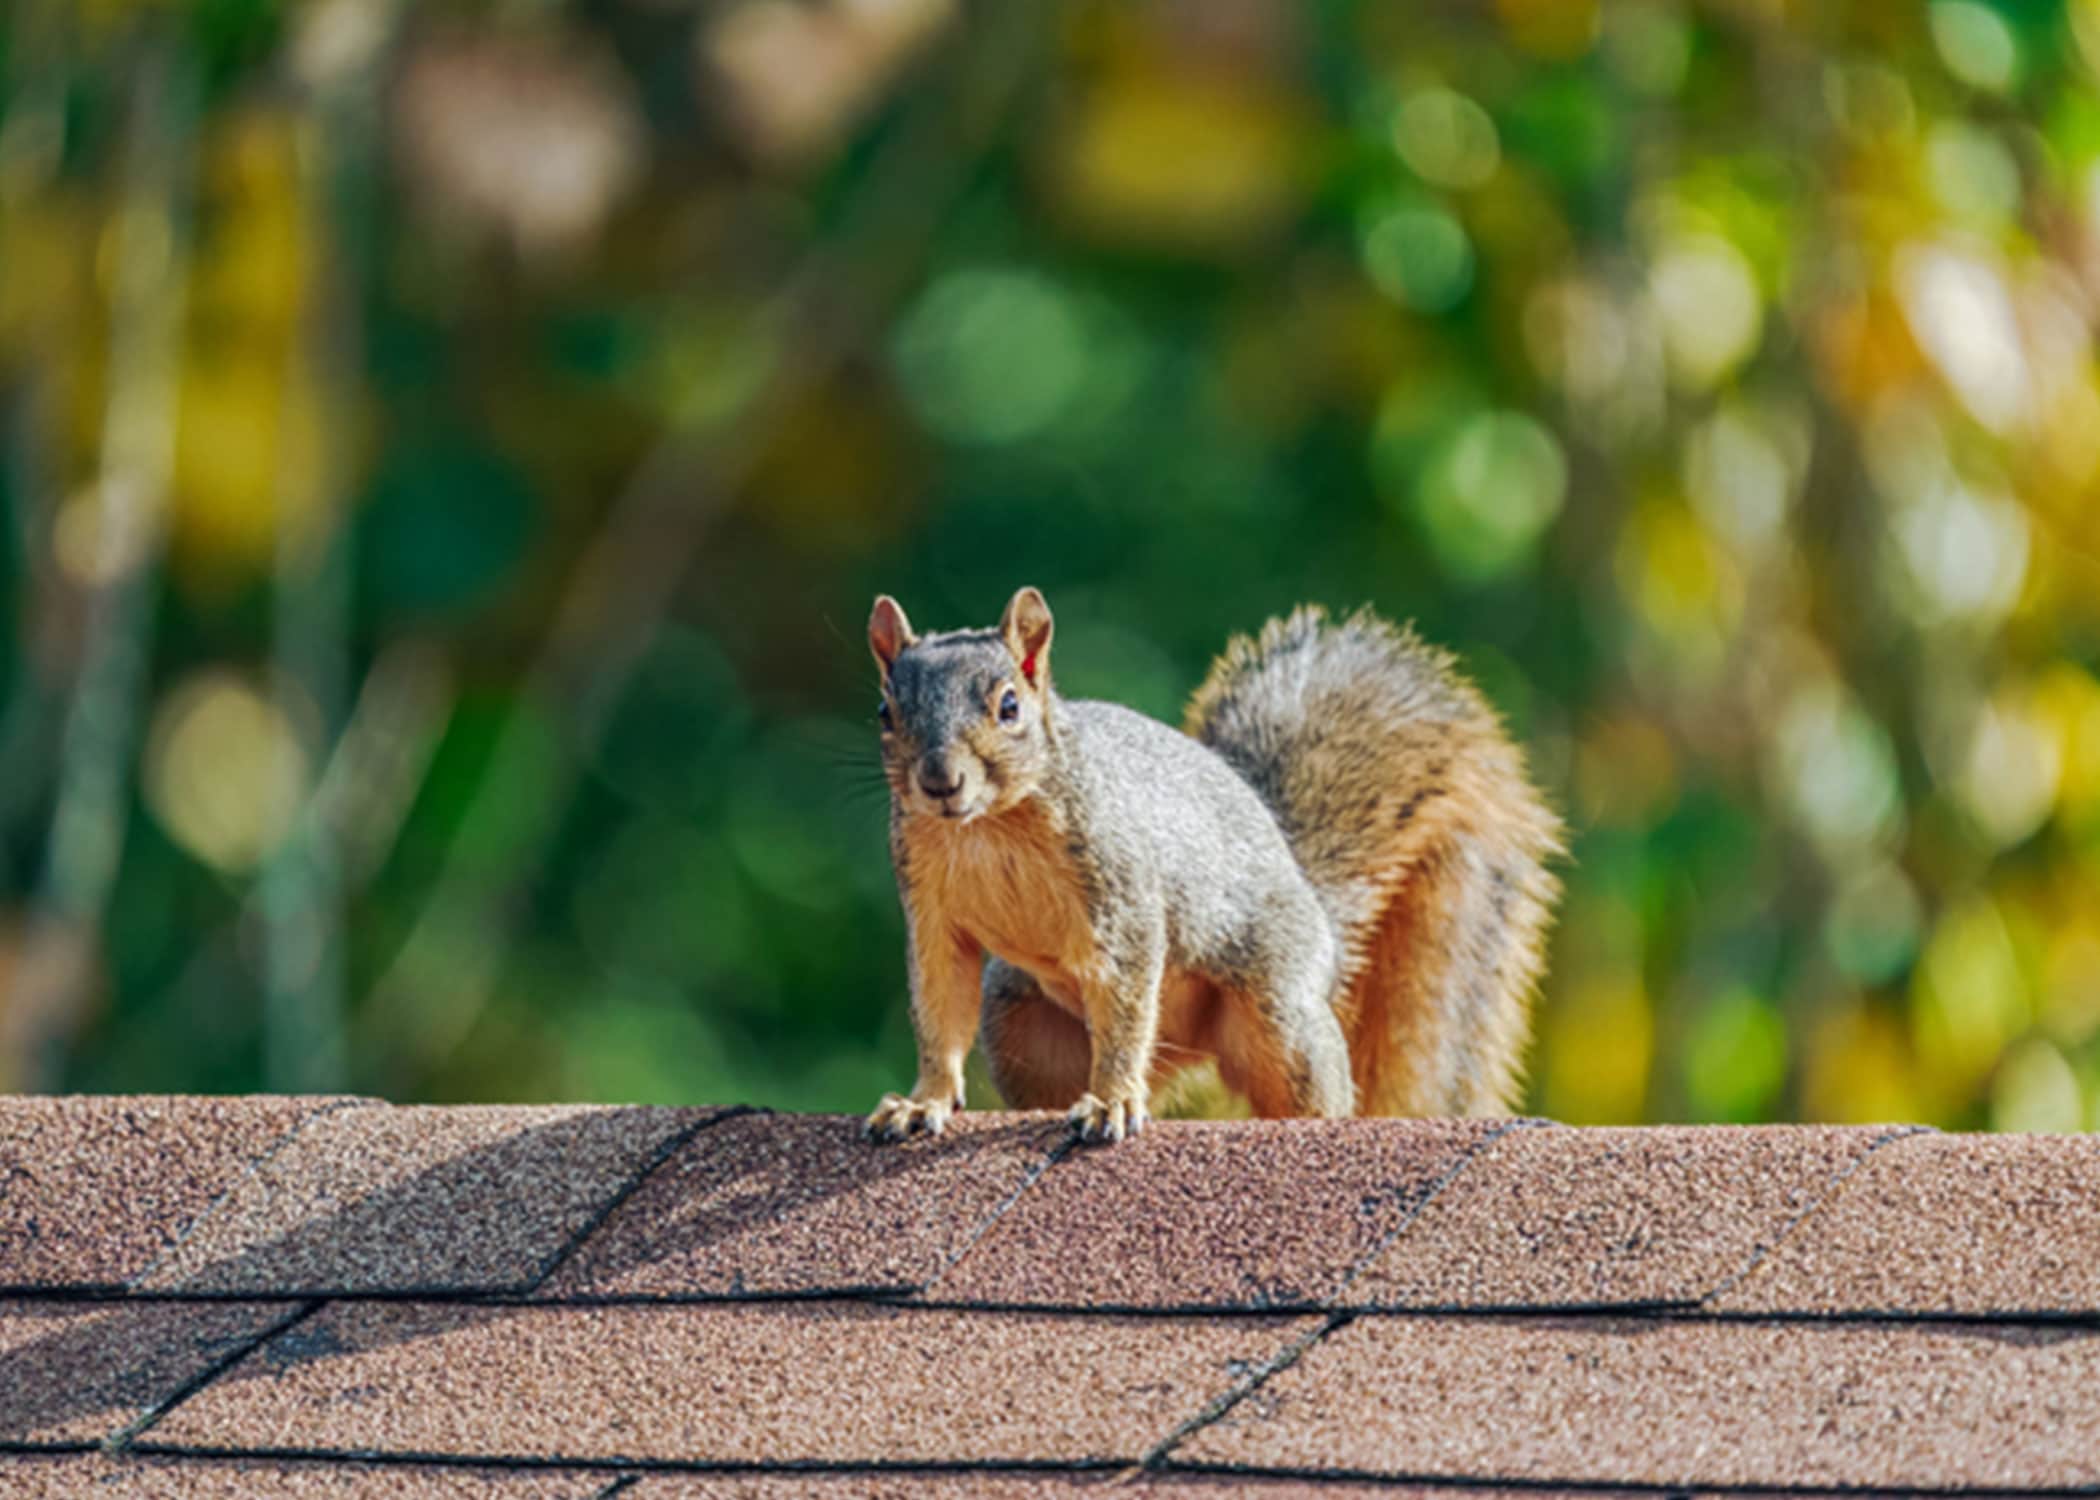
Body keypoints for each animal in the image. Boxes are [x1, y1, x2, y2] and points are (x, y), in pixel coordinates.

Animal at [862, 586, 1562, 1144]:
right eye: (885, 712)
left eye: (1009, 707)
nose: (940, 783)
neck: (987, 828)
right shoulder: (931, 913)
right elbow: (939, 1009)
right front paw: (923, 1103)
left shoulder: (1123, 892)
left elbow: (1124, 999)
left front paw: (1112, 1102)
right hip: (1021, 1028)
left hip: (1279, 1012)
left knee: (1307, 1085)